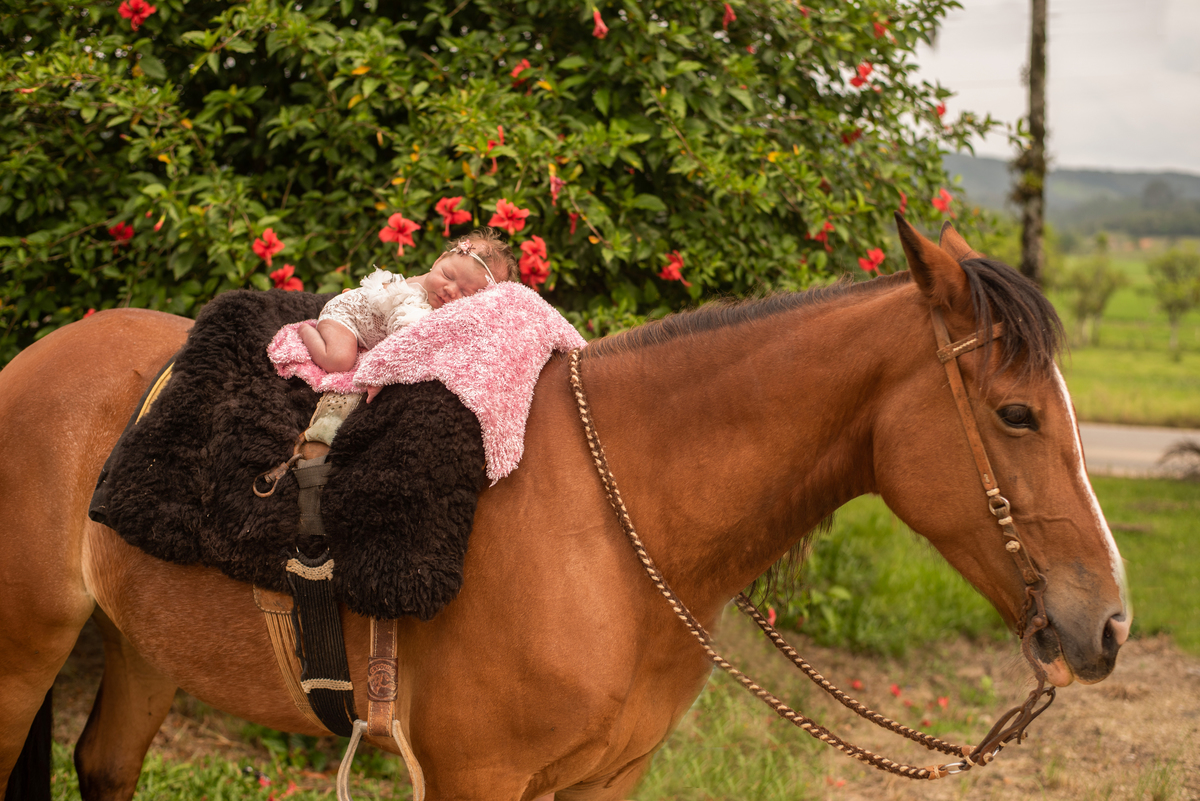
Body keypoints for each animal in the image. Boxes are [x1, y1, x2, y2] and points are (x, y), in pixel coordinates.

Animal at [0, 217, 1129, 801]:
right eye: (1017, 411)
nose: (1108, 624)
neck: (617, 529)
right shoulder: (477, 780)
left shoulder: (606, 781)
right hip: (25, 652)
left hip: (144, 645)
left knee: (104, 766)